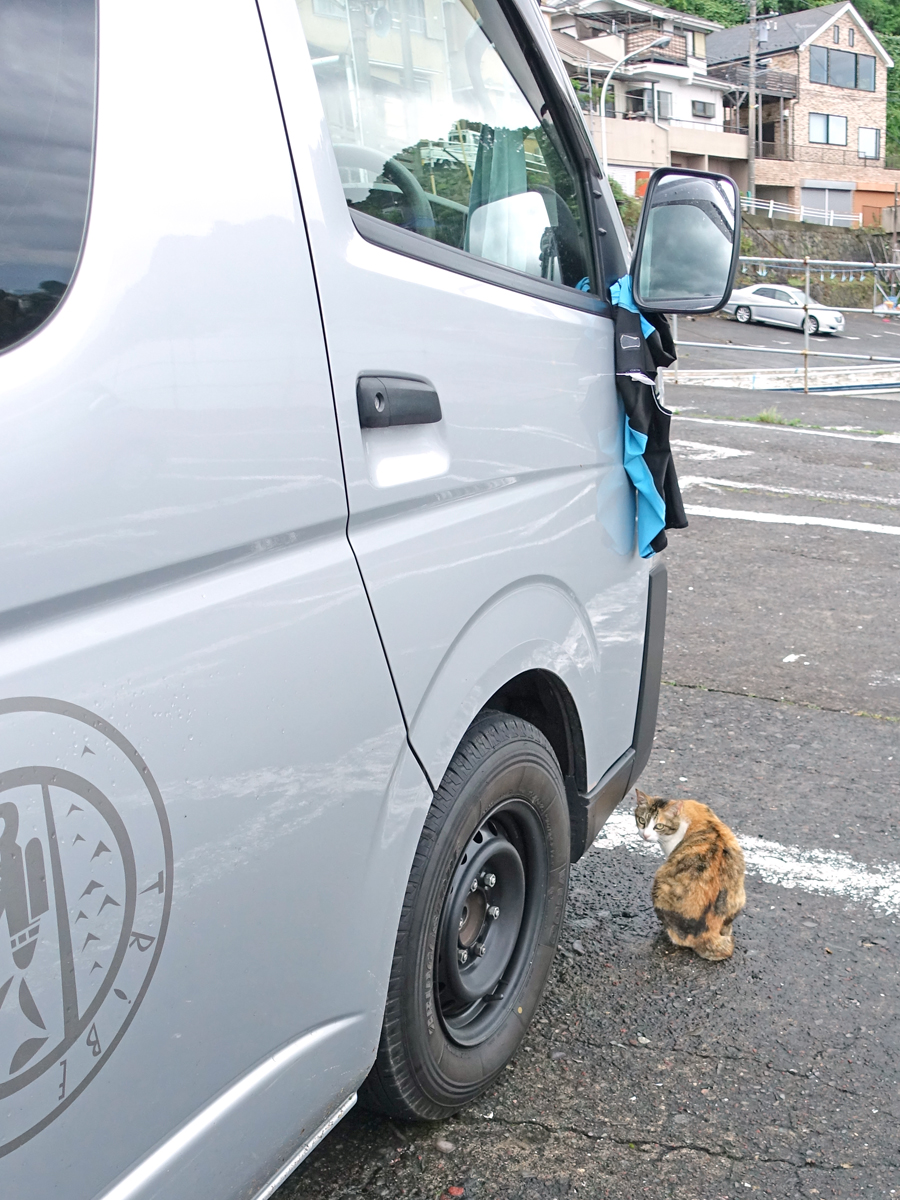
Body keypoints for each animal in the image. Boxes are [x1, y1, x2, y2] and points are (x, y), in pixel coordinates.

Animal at [638, 792, 748, 960]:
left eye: (659, 826)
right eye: (642, 821)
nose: (645, 835)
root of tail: (708, 934)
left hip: (660, 885)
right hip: (740, 896)